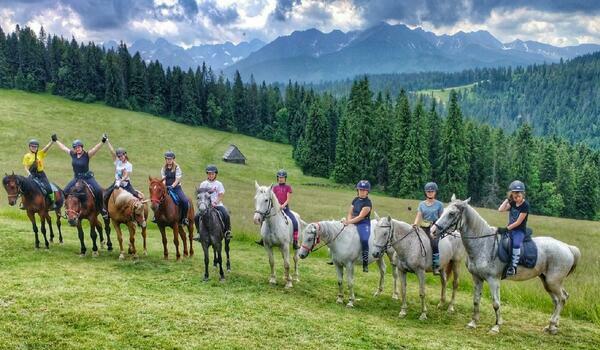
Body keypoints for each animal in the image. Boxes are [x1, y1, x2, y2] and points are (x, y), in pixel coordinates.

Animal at [436, 194, 580, 334]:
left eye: (452, 214)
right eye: (444, 210)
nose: (434, 230)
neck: (483, 244)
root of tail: (568, 247)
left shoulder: (493, 280)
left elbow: (496, 304)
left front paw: (496, 326)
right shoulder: (477, 278)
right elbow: (476, 300)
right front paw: (473, 322)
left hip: (553, 281)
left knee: (562, 298)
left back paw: (552, 324)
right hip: (547, 281)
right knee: (558, 300)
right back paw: (552, 326)